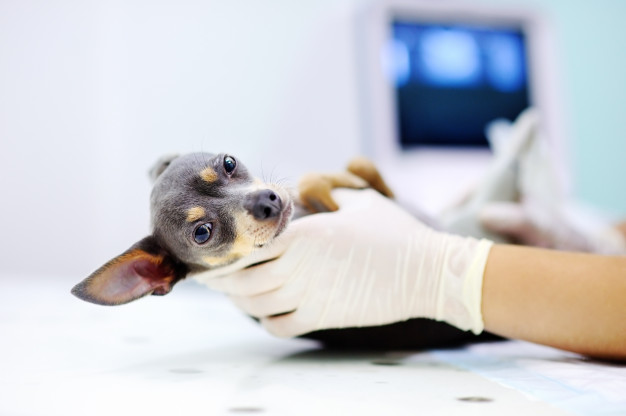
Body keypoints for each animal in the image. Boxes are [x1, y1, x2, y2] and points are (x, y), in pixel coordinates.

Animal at [72, 153, 492, 348]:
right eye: (202, 232)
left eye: (229, 163)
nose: (267, 201)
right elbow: (324, 184)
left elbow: (358, 169)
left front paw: (342, 180)